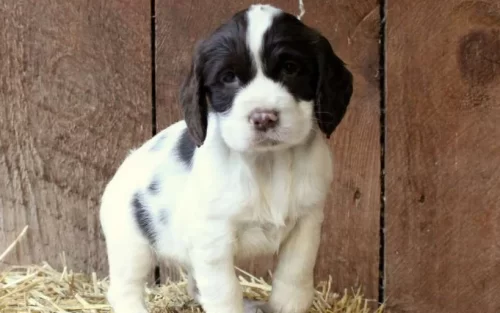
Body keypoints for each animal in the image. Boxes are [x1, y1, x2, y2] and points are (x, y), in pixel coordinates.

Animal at [99, 3, 354, 312]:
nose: (264, 117)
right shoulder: (213, 240)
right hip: (132, 246)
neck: (268, 164)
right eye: (229, 77)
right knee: (124, 290)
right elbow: (224, 293)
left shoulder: (306, 224)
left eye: (291, 68)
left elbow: (294, 279)